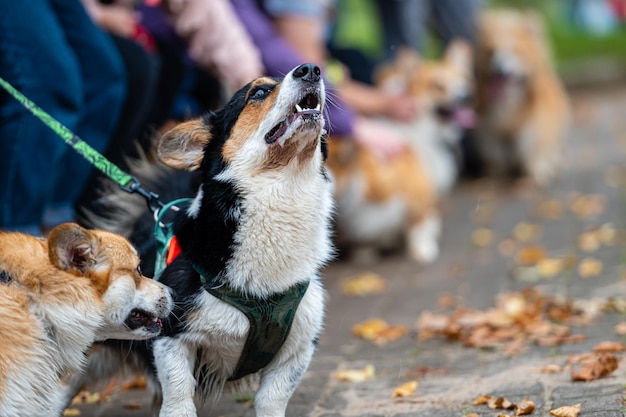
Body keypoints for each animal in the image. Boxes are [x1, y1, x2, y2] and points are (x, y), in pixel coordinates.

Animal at [71, 63, 334, 414]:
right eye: (259, 92)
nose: (311, 69)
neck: (282, 191)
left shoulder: (297, 350)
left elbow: (271, 401)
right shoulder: (171, 337)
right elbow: (179, 397)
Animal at [476, 9, 568, 185]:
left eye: (514, 51)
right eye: (491, 52)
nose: (498, 68)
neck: (508, 100)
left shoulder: (533, 129)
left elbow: (532, 152)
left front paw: (534, 174)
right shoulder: (490, 129)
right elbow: (496, 154)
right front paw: (496, 173)